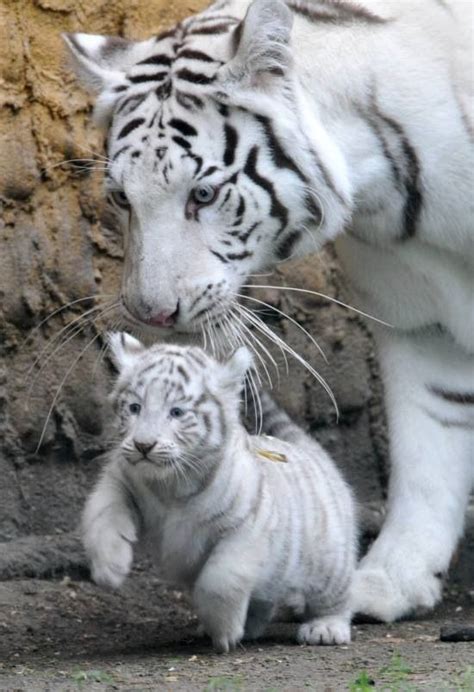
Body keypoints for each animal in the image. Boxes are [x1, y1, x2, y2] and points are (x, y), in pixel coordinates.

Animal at [64, 0, 474, 620]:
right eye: (121, 199)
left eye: (203, 195)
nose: (150, 313)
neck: (395, 191)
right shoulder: (419, 318)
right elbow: (429, 449)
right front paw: (388, 581)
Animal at [83, 332, 356, 652]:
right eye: (134, 408)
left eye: (176, 412)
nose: (143, 445)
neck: (170, 484)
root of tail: (308, 449)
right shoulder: (121, 480)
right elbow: (104, 514)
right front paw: (109, 567)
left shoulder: (248, 525)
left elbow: (221, 578)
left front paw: (224, 632)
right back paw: (250, 626)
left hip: (329, 561)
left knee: (336, 596)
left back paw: (325, 628)